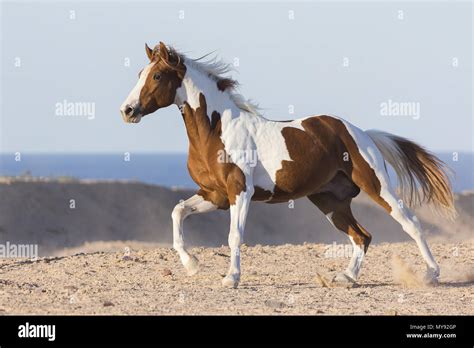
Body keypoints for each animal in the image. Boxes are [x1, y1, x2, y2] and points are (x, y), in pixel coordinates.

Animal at [119, 42, 456, 288]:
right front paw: (191, 265)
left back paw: (431, 274)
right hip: (330, 200)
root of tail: (360, 133)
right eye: (139, 73)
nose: (127, 110)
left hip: (376, 185)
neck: (217, 131)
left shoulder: (240, 192)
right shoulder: (214, 195)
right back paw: (347, 278)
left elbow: (234, 235)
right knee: (362, 236)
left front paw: (231, 278)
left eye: (157, 76)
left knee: (409, 222)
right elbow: (178, 211)